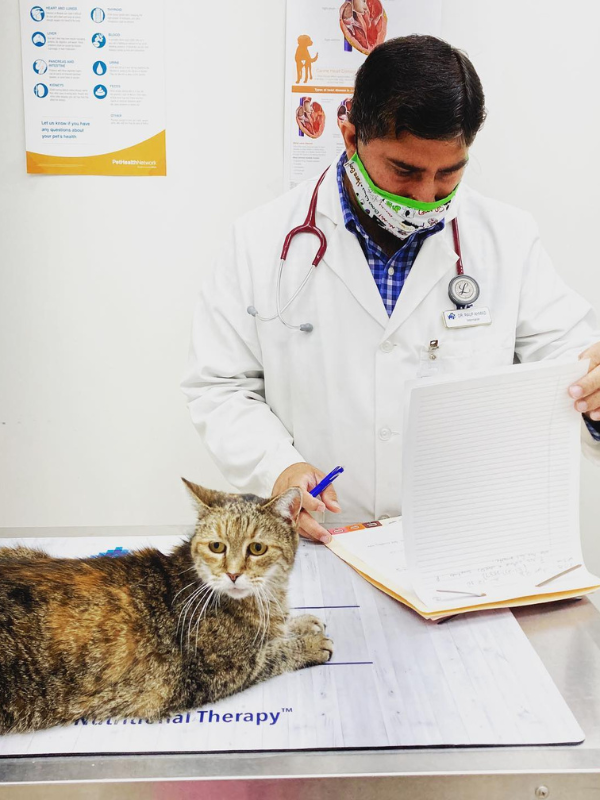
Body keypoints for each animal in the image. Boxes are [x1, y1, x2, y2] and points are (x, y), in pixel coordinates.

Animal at [0, 478, 332, 736]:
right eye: (217, 546)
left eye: (257, 548)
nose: (233, 573)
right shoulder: (216, 674)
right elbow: (274, 654)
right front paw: (310, 644)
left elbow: (279, 628)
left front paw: (301, 623)